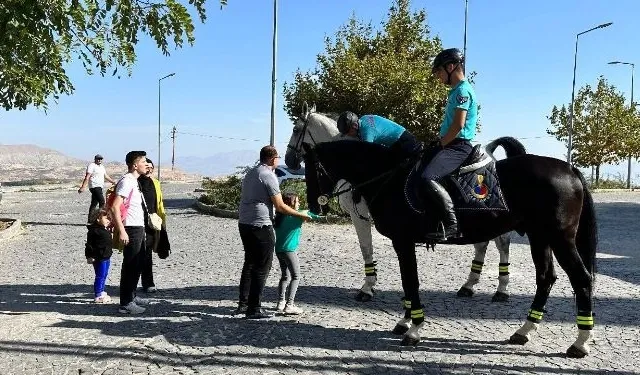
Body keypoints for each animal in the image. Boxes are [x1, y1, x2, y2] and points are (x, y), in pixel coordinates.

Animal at [284, 105, 510, 302]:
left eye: (295, 129)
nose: (289, 160)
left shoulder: (360, 216)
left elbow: (366, 248)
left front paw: (367, 287)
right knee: (483, 244)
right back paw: (469, 285)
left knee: (502, 244)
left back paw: (501, 289)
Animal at [308, 137, 596, 358]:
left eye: (311, 168)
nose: (314, 206)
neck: (388, 178)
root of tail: (569, 169)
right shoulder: (402, 243)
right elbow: (407, 282)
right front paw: (405, 321)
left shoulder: (403, 241)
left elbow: (410, 282)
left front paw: (414, 329)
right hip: (540, 237)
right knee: (546, 278)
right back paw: (524, 331)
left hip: (560, 238)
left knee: (581, 279)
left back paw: (580, 342)